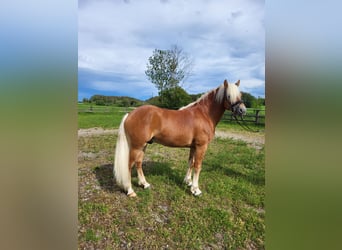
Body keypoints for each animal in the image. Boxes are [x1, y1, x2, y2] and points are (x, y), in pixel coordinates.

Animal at [114, 79, 246, 196]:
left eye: (240, 94)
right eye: (228, 96)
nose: (242, 110)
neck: (204, 114)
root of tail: (129, 114)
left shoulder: (193, 147)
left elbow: (191, 163)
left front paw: (188, 182)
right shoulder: (201, 146)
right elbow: (198, 166)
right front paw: (196, 190)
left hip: (144, 145)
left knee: (138, 163)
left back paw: (144, 184)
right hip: (137, 146)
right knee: (129, 165)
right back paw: (130, 190)